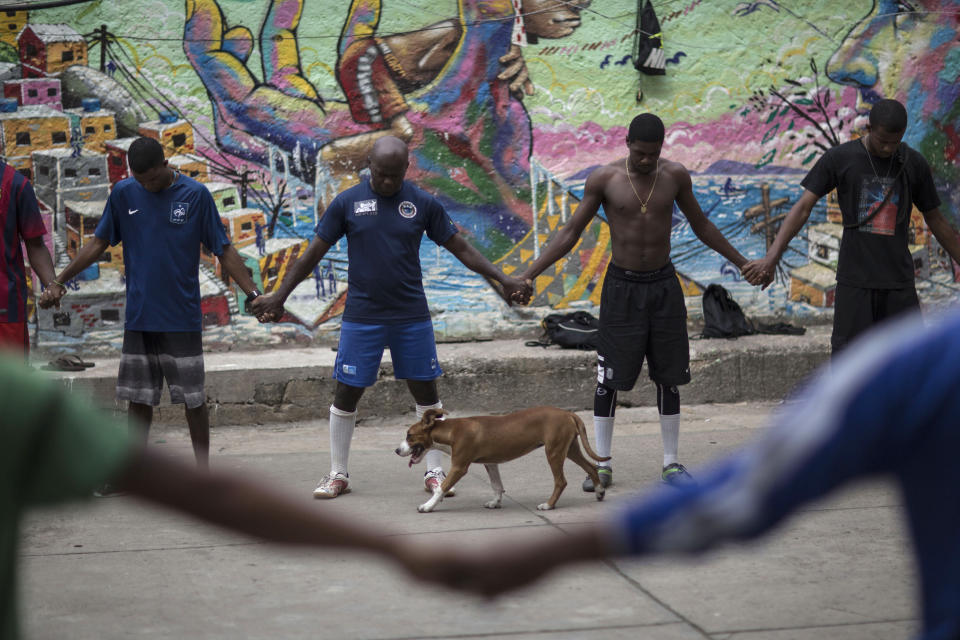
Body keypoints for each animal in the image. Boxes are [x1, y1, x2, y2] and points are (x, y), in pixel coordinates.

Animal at [396, 408, 608, 512]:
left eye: (409, 435)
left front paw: (427, 506)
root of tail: (568, 413)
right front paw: (495, 502)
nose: (397, 450)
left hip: (554, 452)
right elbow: (497, 485)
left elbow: (442, 487)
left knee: (561, 481)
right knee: (591, 467)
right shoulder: (491, 463)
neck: (451, 432)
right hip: (569, 448)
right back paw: (599, 491)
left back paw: (548, 505)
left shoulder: (459, 467)